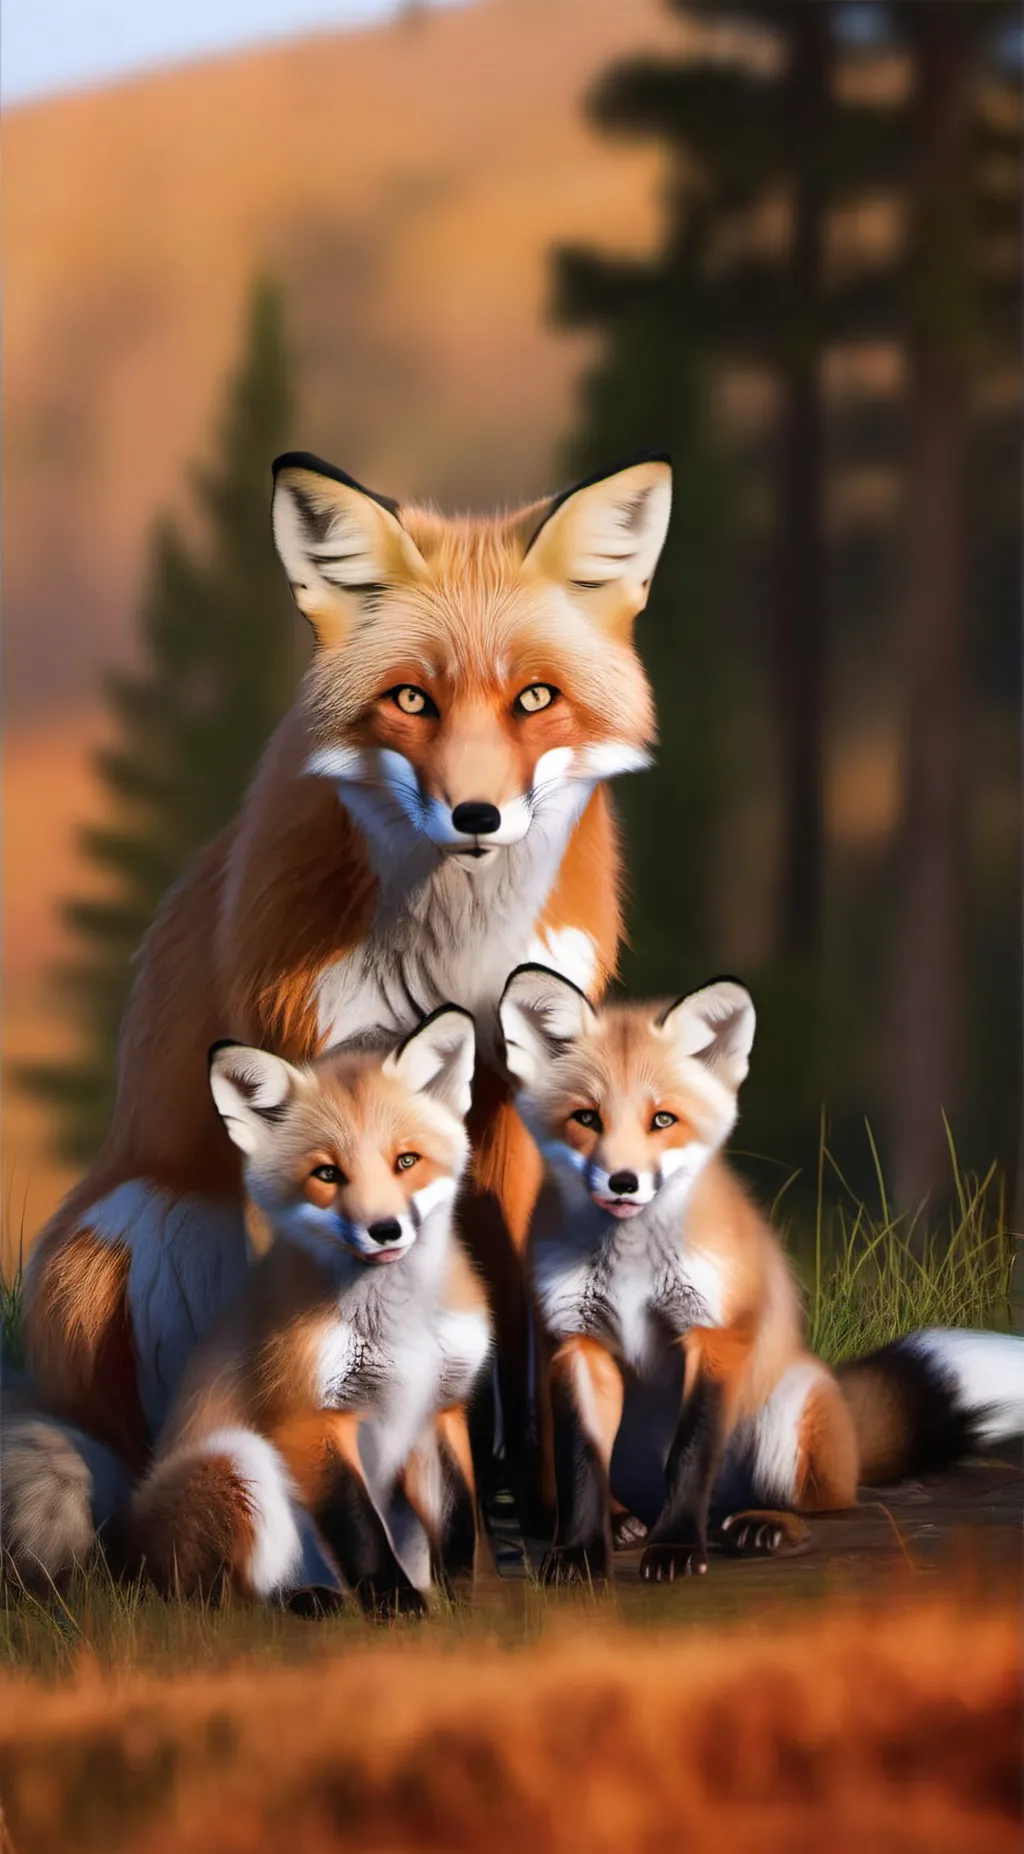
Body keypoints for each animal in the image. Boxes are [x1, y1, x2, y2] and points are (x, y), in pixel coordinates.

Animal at [112, 1007, 491, 1611]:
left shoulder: (440, 1405)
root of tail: (127, 1554)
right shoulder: (308, 1416)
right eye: (328, 1174)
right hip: (240, 1464)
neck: (401, 1329)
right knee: (222, 1602)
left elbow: (457, 1523)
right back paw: (308, 1603)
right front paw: (398, 1607)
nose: (385, 1230)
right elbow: (360, 1530)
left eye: (406, 1161)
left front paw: (464, 1608)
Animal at [498, 963, 1024, 1584]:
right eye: (586, 1118)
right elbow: (581, 1469)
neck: (629, 1268)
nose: (624, 1182)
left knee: (827, 1509)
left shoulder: (715, 1335)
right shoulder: (576, 1342)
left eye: (662, 1120)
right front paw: (579, 1553)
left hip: (789, 1420)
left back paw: (764, 1527)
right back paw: (628, 1522)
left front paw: (676, 1549)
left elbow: (689, 1459)